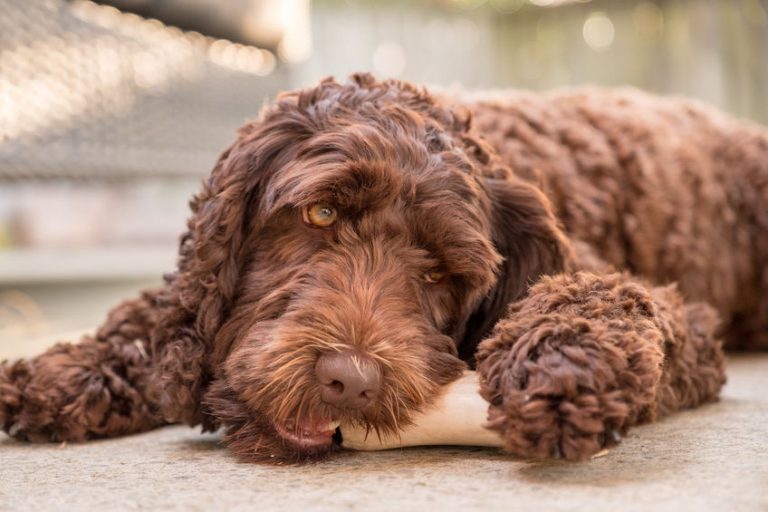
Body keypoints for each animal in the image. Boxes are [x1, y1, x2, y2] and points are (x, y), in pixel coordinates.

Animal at [1, 73, 766, 463]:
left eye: (440, 272)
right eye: (320, 215)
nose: (349, 380)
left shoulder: (678, 317)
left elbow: (611, 299)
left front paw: (559, 369)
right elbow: (160, 310)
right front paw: (68, 368)